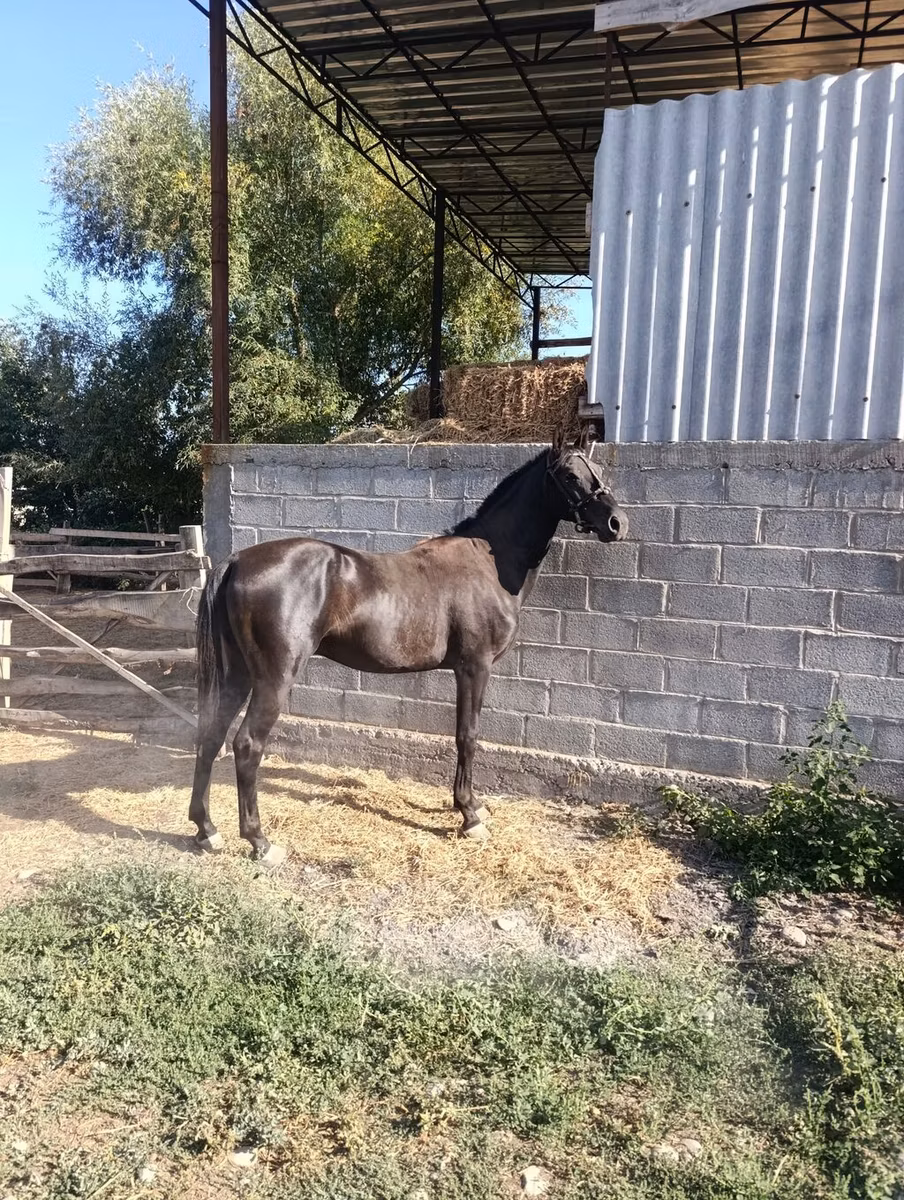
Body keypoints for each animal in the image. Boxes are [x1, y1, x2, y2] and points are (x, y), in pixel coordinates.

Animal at [188, 432, 627, 864]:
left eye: (597, 469)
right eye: (569, 476)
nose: (617, 523)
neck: (489, 562)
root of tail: (236, 561)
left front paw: (473, 806)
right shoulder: (474, 667)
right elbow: (467, 735)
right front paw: (469, 815)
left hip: (238, 674)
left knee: (210, 734)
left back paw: (206, 830)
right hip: (274, 678)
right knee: (247, 745)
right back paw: (260, 842)